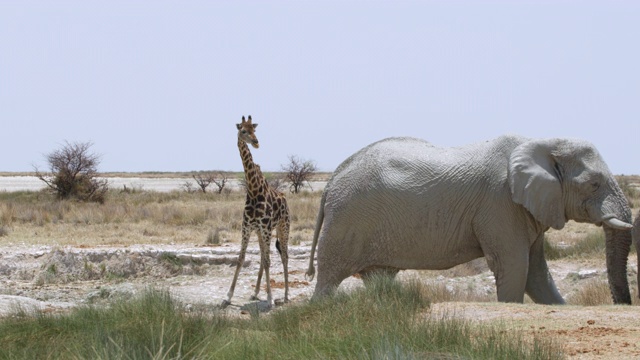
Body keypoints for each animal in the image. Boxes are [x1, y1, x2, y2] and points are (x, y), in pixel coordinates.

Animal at [220, 116, 290, 310]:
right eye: (243, 130)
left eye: (255, 130)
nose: (257, 142)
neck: (253, 190)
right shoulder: (247, 228)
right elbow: (241, 259)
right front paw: (227, 297)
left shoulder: (265, 229)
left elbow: (267, 261)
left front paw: (270, 298)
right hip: (260, 232)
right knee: (263, 256)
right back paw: (256, 292)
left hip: (283, 227)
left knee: (284, 256)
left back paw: (286, 295)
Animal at [306, 135, 636, 304]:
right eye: (594, 183)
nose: (622, 304)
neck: (542, 141)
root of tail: (332, 179)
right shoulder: (500, 204)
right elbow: (515, 266)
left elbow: (536, 274)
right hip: (346, 220)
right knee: (329, 279)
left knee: (379, 277)